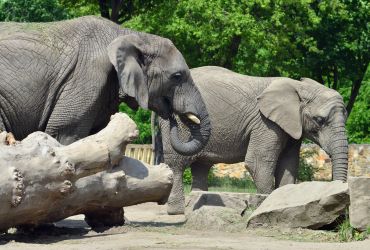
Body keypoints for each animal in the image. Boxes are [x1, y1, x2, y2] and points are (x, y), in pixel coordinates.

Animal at [158, 66, 348, 215]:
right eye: (319, 120)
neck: (298, 86)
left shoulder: (291, 126)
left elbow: (288, 165)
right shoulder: (265, 123)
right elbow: (258, 162)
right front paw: (263, 207)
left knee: (201, 167)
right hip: (179, 125)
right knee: (177, 164)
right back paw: (177, 211)